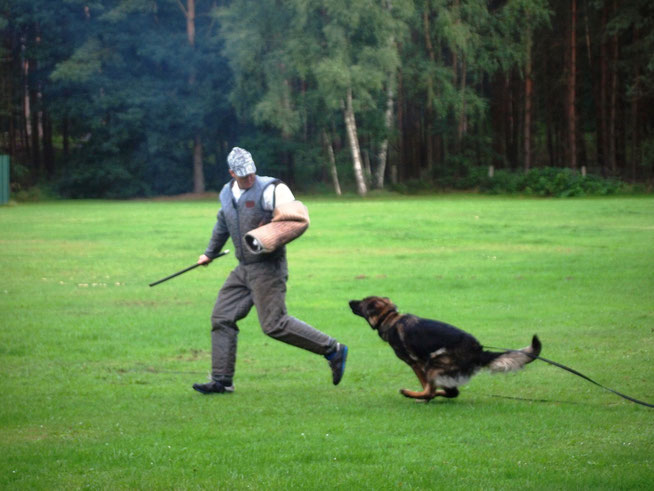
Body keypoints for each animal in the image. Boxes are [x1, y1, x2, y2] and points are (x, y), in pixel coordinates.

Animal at [354, 298, 544, 402]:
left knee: (432, 391)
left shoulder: (415, 363)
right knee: (452, 392)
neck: (390, 318)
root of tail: (479, 351)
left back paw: (411, 394)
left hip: (433, 364)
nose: (349, 301)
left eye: (362, 302)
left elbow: (424, 384)